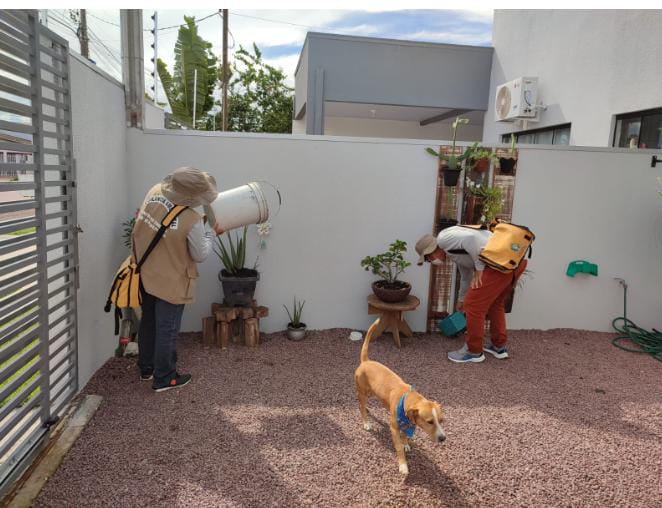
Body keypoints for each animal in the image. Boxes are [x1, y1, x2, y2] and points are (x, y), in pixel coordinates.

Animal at [352, 320, 446, 474]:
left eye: (441, 420)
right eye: (430, 422)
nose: (443, 438)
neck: (408, 398)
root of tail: (366, 361)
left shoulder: (409, 424)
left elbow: (406, 436)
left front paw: (406, 443)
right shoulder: (394, 429)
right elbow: (399, 448)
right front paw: (403, 465)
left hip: (371, 392)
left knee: (363, 403)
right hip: (363, 390)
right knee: (360, 403)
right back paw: (366, 422)